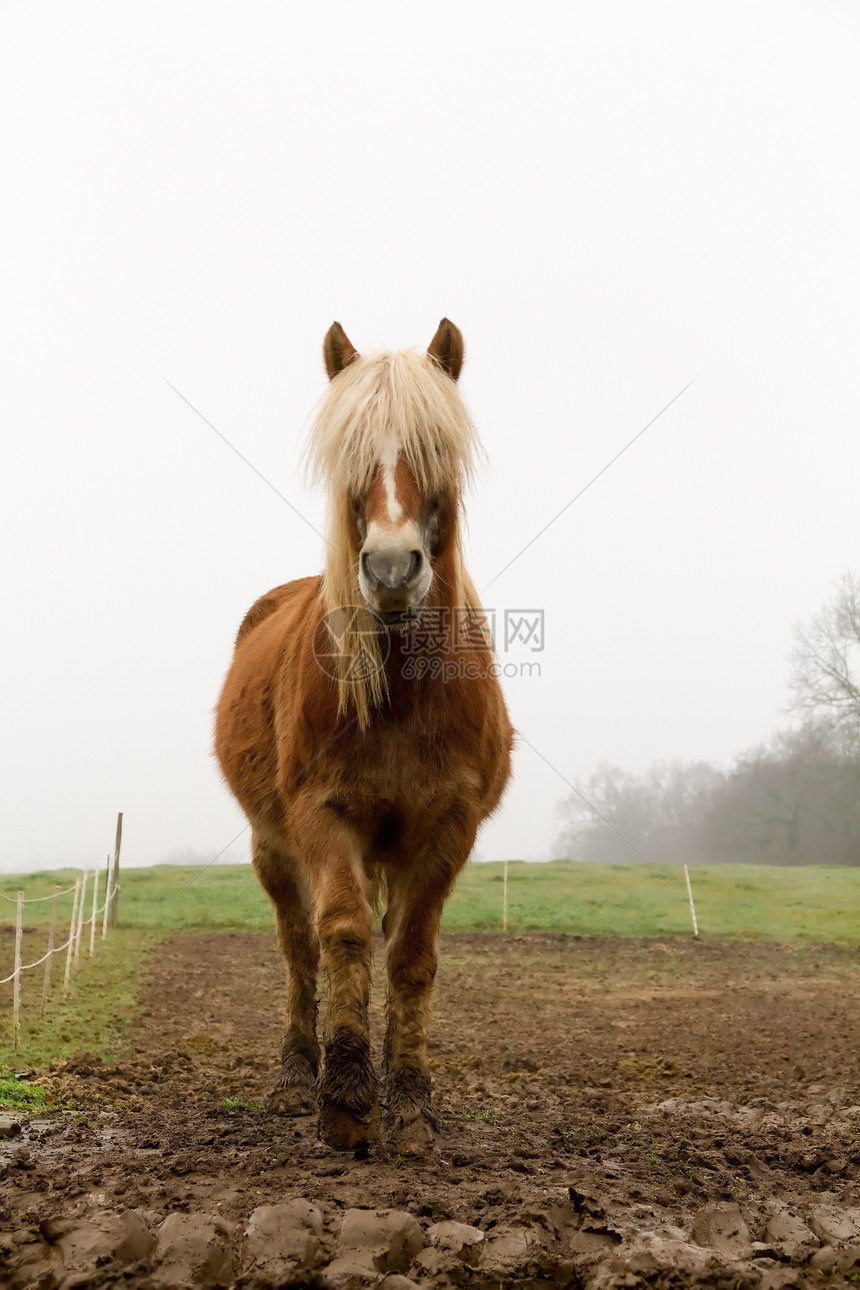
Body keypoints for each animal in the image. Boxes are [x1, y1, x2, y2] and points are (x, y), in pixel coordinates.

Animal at [212, 319, 515, 1150]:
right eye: (349, 454)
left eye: (436, 448)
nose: (389, 568)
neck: (404, 696)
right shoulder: (323, 817)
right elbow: (342, 935)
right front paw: (345, 1100)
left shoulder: (446, 828)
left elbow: (411, 955)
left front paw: (408, 1101)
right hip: (273, 850)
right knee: (298, 949)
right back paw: (295, 1076)